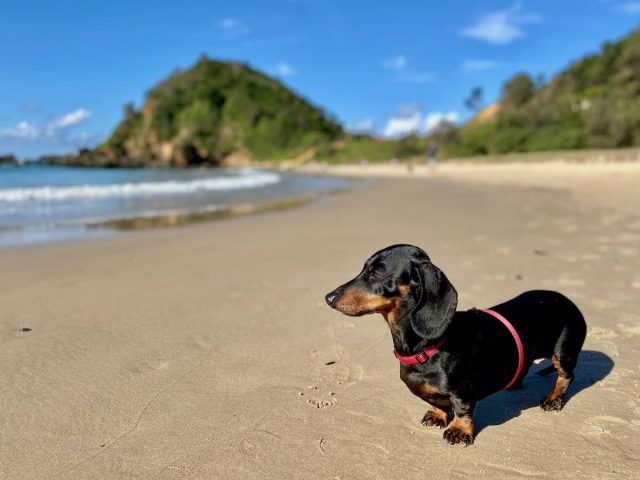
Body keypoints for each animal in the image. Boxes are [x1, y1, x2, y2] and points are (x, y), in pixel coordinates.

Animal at [324, 246, 584, 444]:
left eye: (375, 273)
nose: (328, 297)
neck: (427, 348)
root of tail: (568, 301)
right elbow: (435, 402)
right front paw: (437, 415)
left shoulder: (462, 392)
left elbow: (461, 409)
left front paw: (459, 431)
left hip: (563, 351)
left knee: (566, 375)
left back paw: (553, 399)